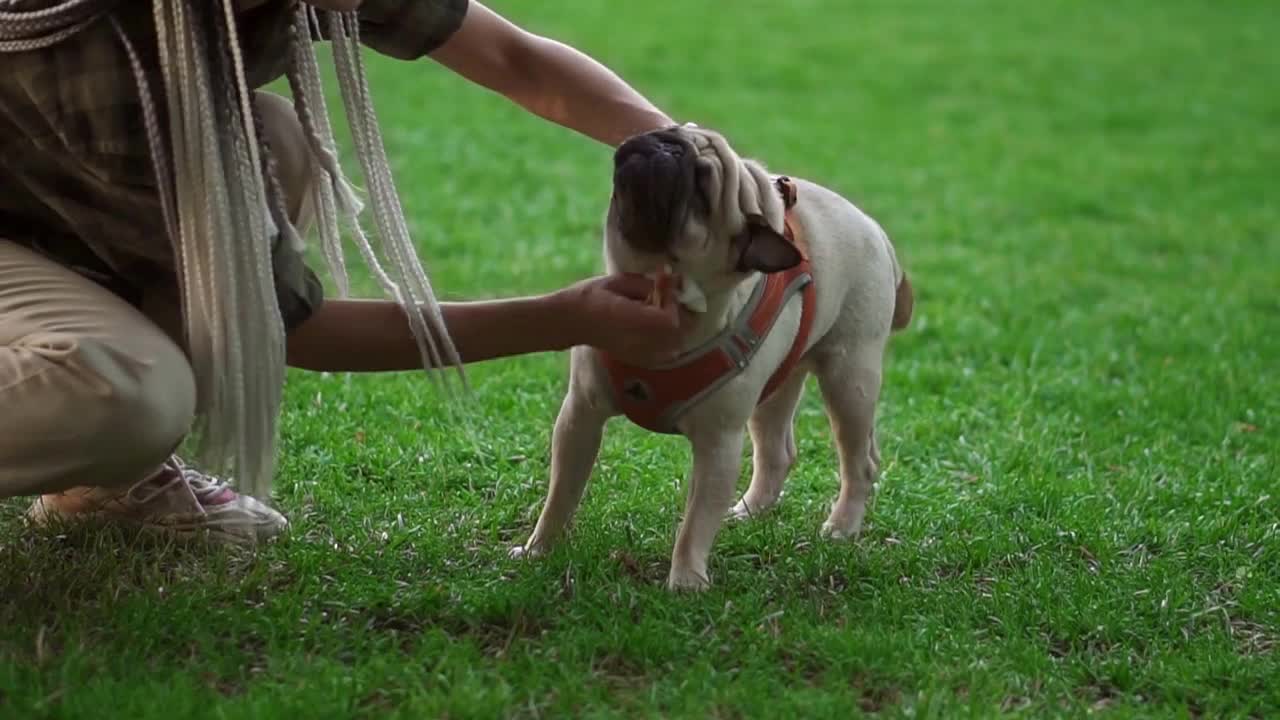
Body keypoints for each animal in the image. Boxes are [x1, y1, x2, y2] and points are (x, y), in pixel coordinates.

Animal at [509, 122, 911, 589]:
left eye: (703, 186)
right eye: (671, 130)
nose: (665, 143)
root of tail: (876, 231)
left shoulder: (718, 445)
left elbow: (696, 522)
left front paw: (686, 580)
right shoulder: (580, 417)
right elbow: (561, 494)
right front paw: (539, 549)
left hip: (849, 380)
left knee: (858, 459)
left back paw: (843, 526)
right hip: (776, 385)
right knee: (776, 452)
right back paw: (749, 511)